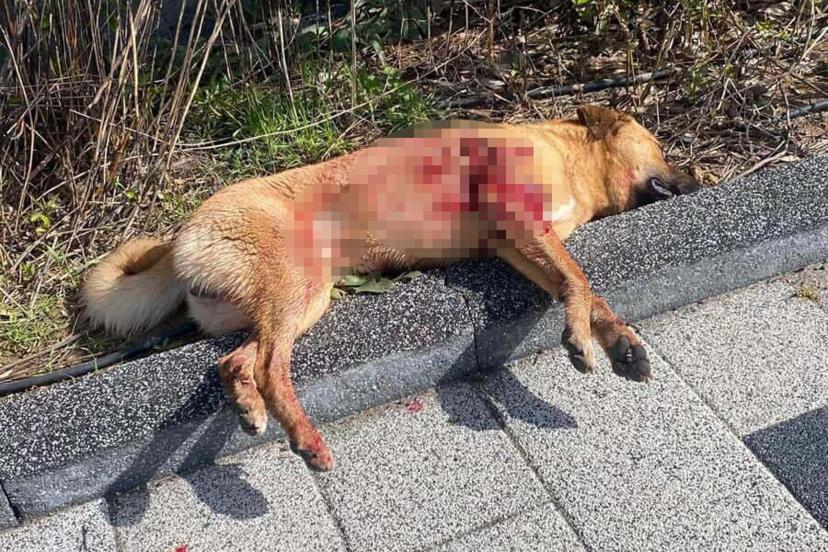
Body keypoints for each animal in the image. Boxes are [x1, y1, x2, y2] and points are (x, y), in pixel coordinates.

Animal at [82, 105, 700, 471]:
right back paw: (305, 438)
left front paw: (621, 343)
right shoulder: (521, 225)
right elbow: (580, 281)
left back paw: (251, 410)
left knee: (236, 362)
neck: (564, 157)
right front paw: (584, 336)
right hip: (297, 286)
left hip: (301, 300)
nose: (699, 178)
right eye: (661, 147)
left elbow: (587, 291)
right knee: (269, 367)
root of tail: (178, 237)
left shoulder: (521, 244)